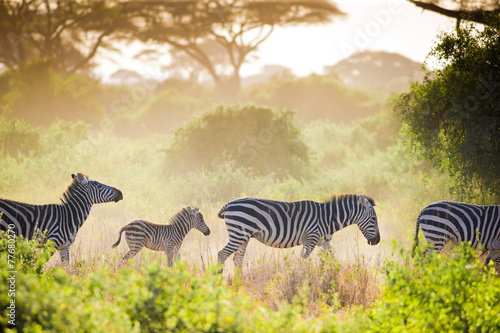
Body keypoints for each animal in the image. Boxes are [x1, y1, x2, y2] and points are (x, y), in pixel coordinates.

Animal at [217, 195, 380, 268]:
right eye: (373, 219)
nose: (377, 241)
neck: (328, 218)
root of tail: (230, 203)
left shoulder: (324, 242)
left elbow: (333, 259)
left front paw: (336, 276)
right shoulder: (311, 238)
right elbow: (303, 260)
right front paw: (301, 279)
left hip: (245, 236)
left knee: (237, 259)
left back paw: (240, 284)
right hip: (239, 233)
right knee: (222, 254)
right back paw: (219, 282)